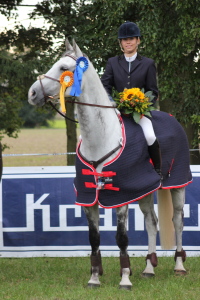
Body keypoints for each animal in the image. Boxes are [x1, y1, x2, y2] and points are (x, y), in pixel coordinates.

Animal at [27, 39, 192, 288]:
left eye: (64, 67)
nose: (33, 93)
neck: (100, 139)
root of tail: (173, 120)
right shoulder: (89, 198)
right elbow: (94, 238)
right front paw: (94, 277)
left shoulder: (120, 195)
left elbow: (121, 237)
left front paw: (124, 278)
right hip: (144, 191)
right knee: (151, 222)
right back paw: (148, 268)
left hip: (178, 186)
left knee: (178, 220)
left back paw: (179, 265)